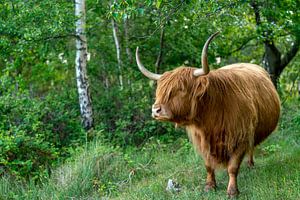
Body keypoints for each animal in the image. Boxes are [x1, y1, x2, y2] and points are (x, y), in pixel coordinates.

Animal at [136, 32, 282, 196]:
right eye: (159, 90)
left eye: (181, 89)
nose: (156, 110)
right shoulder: (202, 141)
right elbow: (208, 165)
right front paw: (210, 186)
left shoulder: (241, 137)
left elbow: (233, 167)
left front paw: (232, 191)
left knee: (252, 147)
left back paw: (250, 165)